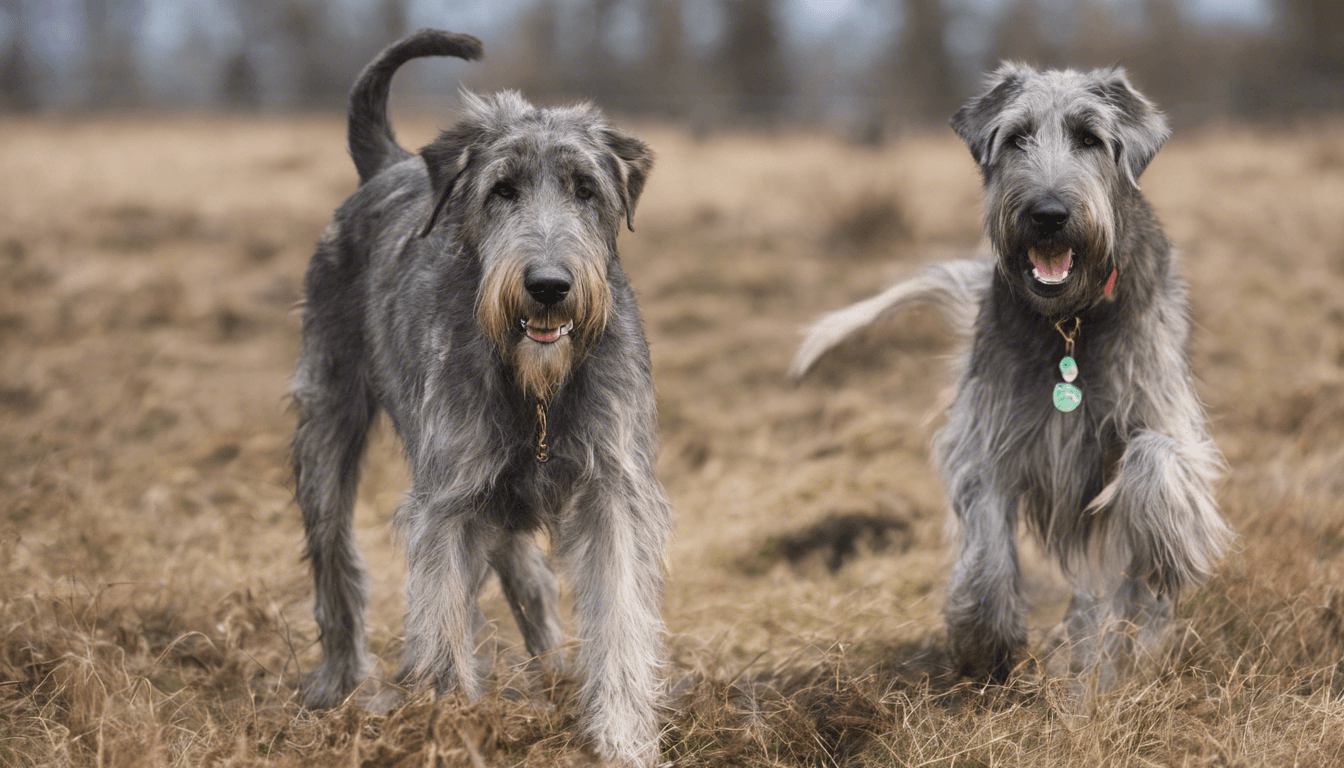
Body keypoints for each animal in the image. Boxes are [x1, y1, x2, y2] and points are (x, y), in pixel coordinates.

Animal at [290, 28, 677, 763]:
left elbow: (618, 616)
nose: (549, 284)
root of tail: (388, 164)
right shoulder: (449, 502)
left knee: (531, 581)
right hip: (325, 429)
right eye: (502, 189)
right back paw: (344, 690)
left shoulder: (612, 489)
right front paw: (449, 730)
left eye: (586, 189)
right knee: (335, 564)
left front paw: (621, 737)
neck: (539, 390)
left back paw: (553, 678)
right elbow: (442, 625)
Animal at [790, 66, 1231, 688]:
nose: (1047, 213)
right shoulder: (987, 437)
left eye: (1090, 138)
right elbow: (986, 539)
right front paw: (984, 638)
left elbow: (1157, 459)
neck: (1069, 323)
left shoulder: (1164, 411)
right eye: (1017, 137)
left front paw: (1173, 541)